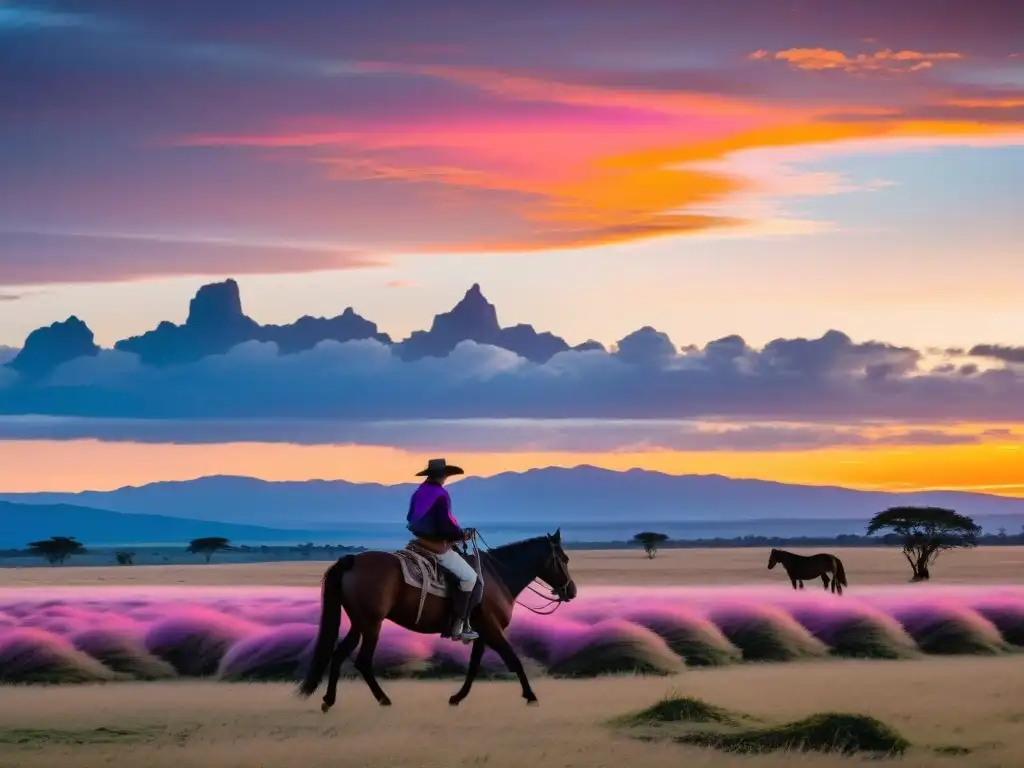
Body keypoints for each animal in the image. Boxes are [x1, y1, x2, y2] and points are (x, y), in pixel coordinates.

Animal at [299, 532, 581, 712]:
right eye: (564, 559)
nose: (572, 591)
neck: (498, 576)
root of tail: (352, 561)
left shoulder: (481, 632)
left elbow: (473, 667)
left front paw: (456, 698)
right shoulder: (493, 629)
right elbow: (514, 660)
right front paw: (531, 696)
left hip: (359, 623)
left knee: (338, 655)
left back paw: (328, 700)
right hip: (371, 624)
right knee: (363, 661)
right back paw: (383, 699)